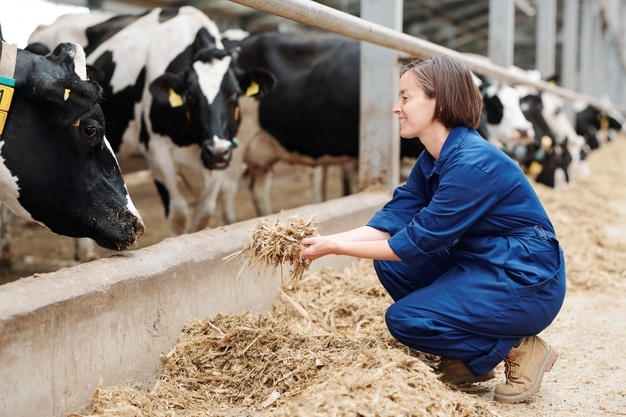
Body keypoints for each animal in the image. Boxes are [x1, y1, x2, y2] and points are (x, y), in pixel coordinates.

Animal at [25, 6, 272, 258]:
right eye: (190, 96)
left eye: (235, 94)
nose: (216, 152)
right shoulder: (158, 153)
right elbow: (179, 213)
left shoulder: (219, 160)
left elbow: (204, 213)